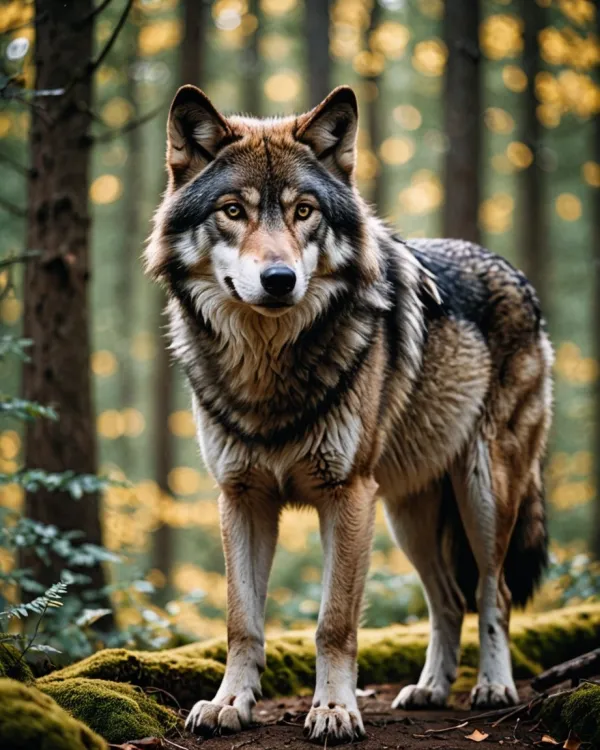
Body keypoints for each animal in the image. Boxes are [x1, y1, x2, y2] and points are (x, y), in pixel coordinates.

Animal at [146, 85, 553, 745]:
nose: (279, 279)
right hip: (408, 515)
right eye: (233, 211)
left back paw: (494, 686)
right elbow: (241, 621)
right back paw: (430, 689)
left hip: (482, 495)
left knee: (494, 591)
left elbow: (333, 623)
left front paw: (335, 710)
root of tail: (513, 271)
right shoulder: (241, 496)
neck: (268, 369)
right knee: (447, 599)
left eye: (304, 211)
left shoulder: (346, 495)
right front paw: (230, 703)